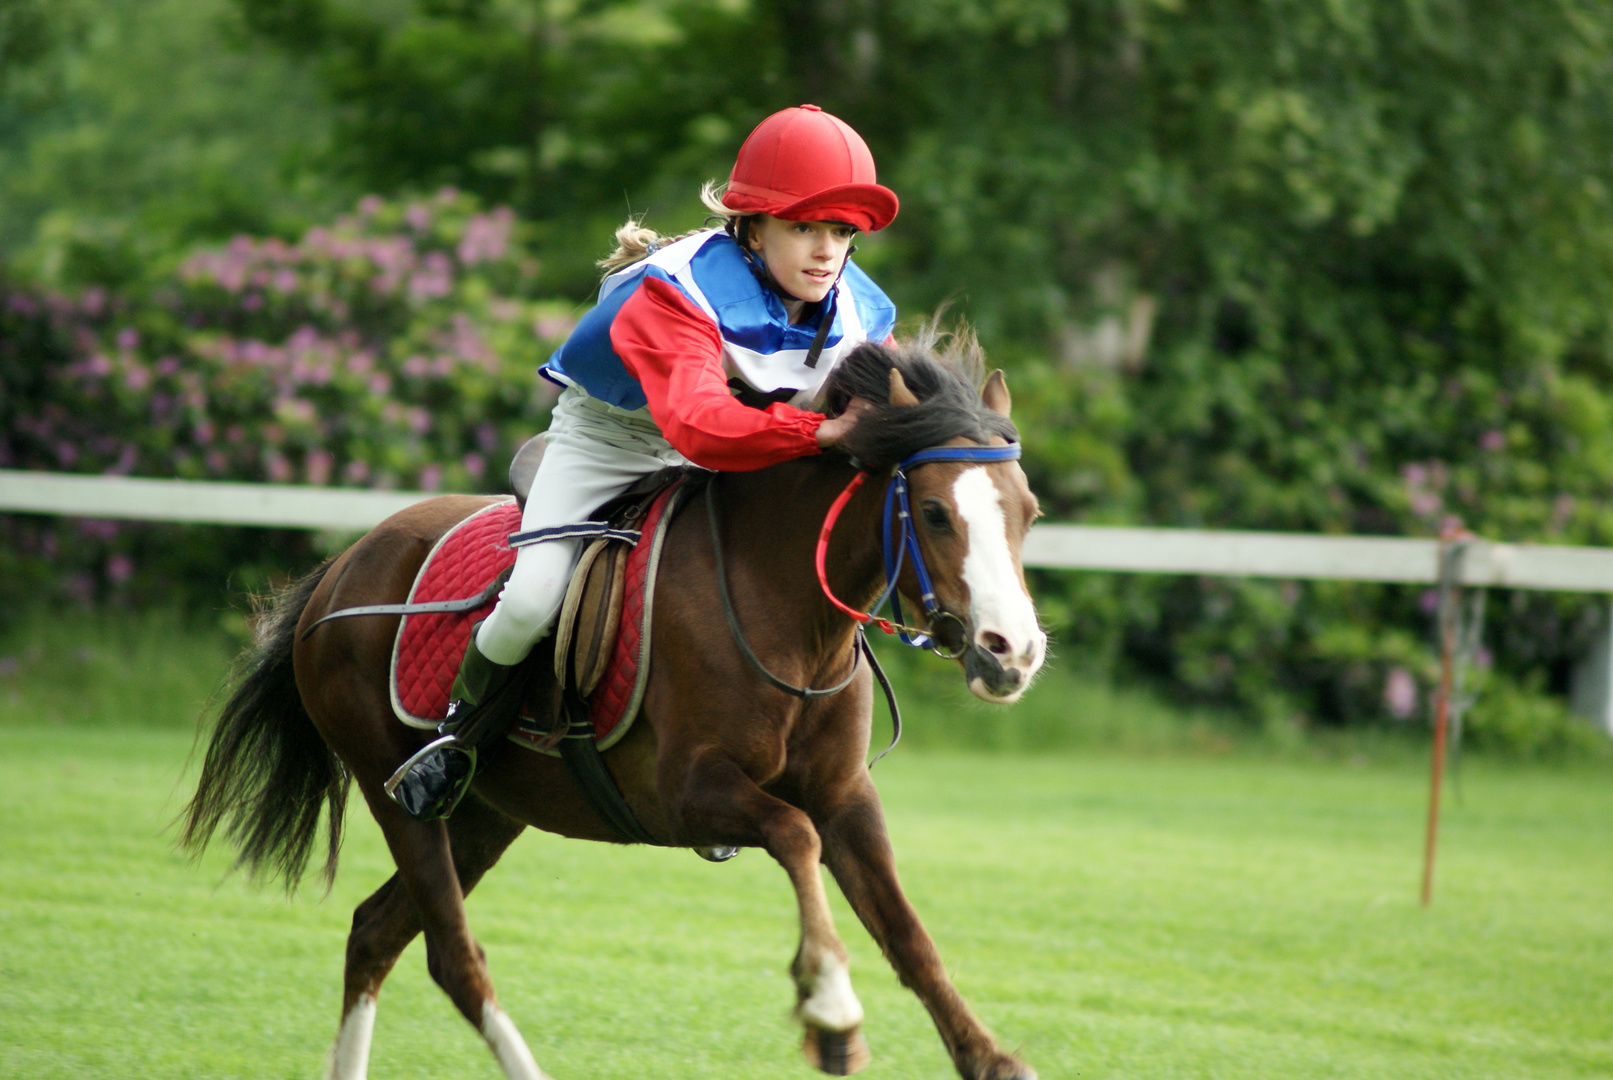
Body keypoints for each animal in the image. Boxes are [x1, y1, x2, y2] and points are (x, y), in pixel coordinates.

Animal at [183, 333, 1051, 1076]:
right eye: (933, 511)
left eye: (1028, 511)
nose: (1012, 651)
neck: (784, 610)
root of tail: (340, 568)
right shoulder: (688, 794)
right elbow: (794, 837)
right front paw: (831, 1010)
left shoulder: (845, 797)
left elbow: (905, 932)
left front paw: (986, 1055)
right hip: (395, 790)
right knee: (454, 957)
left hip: (486, 814)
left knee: (376, 934)